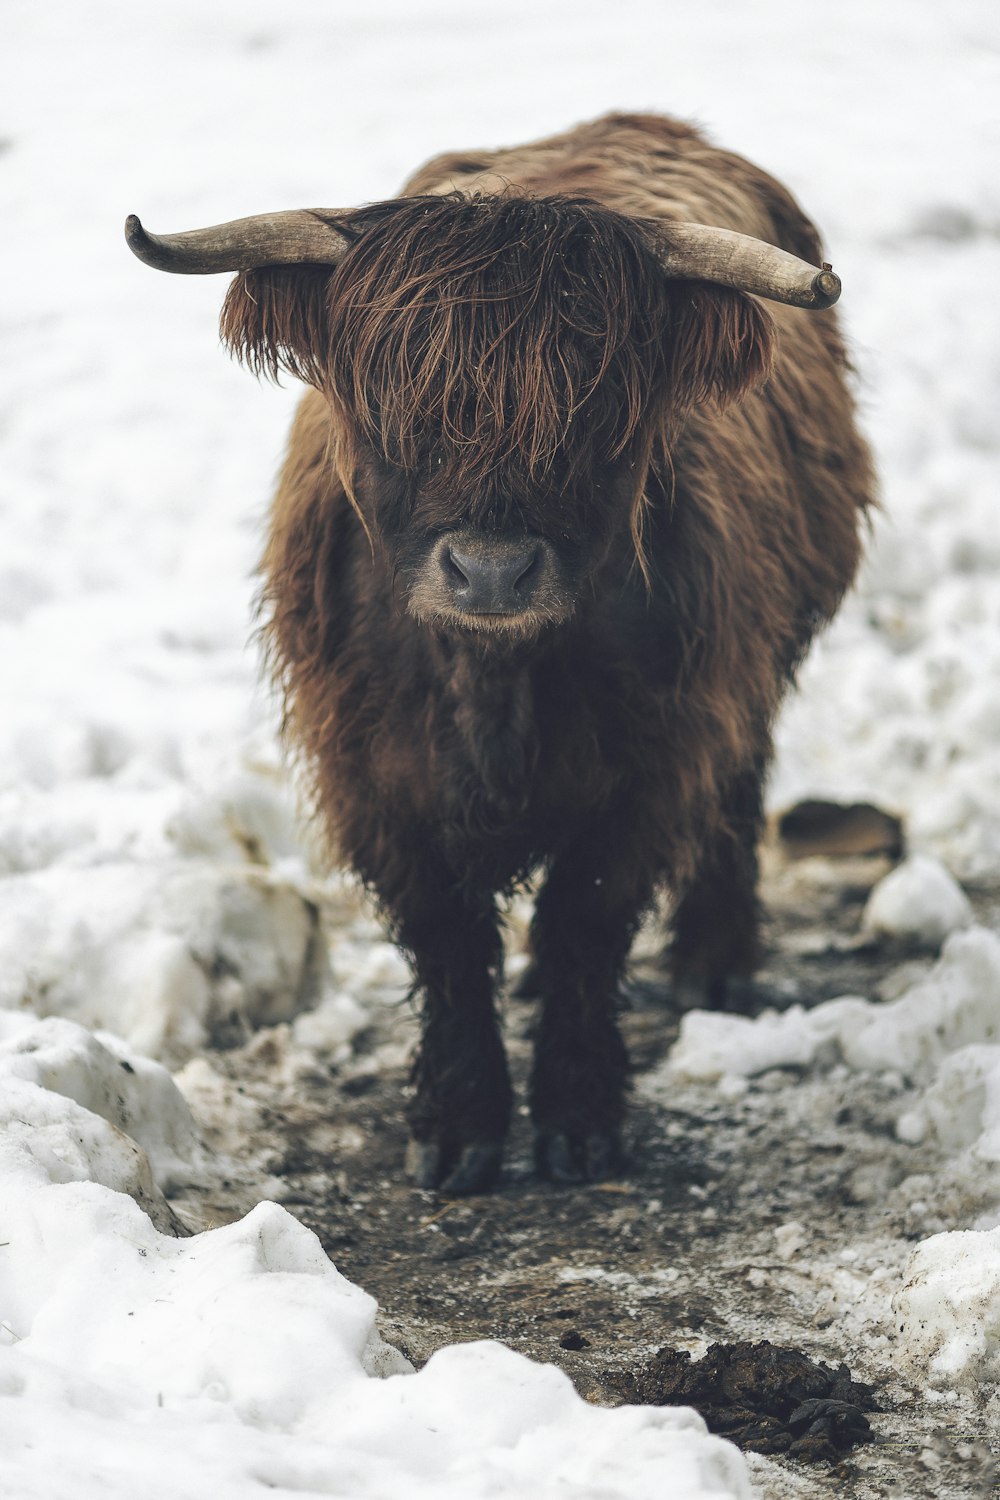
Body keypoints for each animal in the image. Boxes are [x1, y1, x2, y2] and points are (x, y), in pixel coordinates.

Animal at [127, 114, 875, 1194]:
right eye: (392, 413)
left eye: (599, 419)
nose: (489, 573)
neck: (491, 679)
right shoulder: (369, 772)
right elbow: (445, 936)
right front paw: (458, 1126)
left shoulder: (654, 759)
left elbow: (584, 923)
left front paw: (580, 1118)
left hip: (757, 663)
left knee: (738, 784)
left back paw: (715, 961)